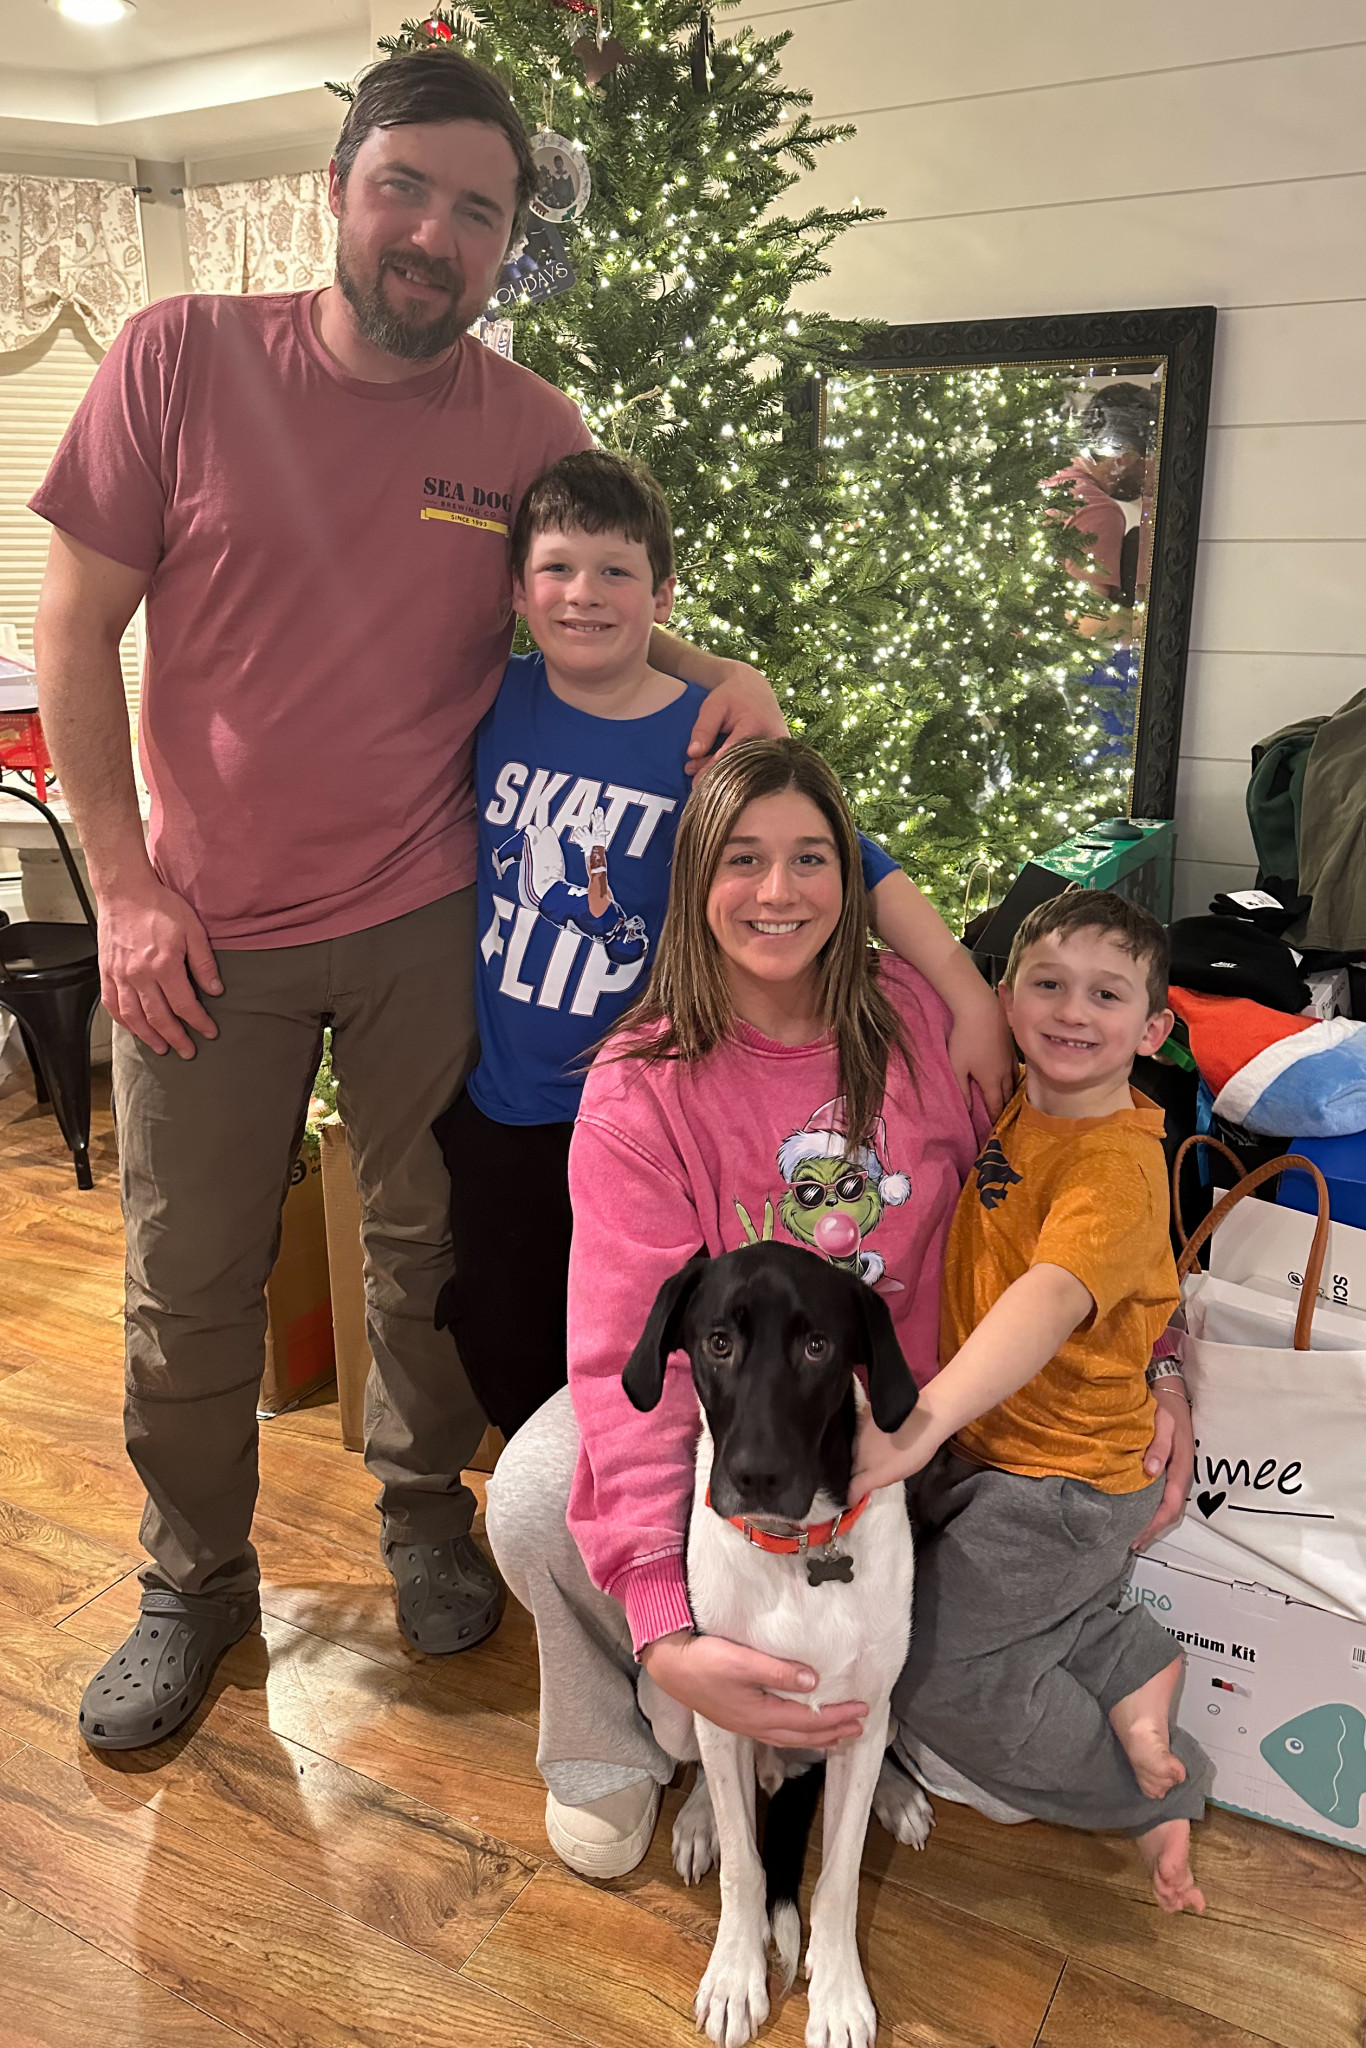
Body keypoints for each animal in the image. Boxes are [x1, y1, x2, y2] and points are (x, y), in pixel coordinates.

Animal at [622, 1240, 934, 2048]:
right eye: (717, 1343)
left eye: (818, 1348)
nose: (756, 1476)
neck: (798, 1554)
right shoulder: (721, 1697)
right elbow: (745, 1864)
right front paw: (736, 1973)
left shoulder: (862, 1710)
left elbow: (839, 1877)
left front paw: (840, 1993)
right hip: (666, 1700)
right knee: (707, 1771)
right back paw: (697, 1819)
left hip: (892, 1699)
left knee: (878, 1749)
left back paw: (895, 1794)